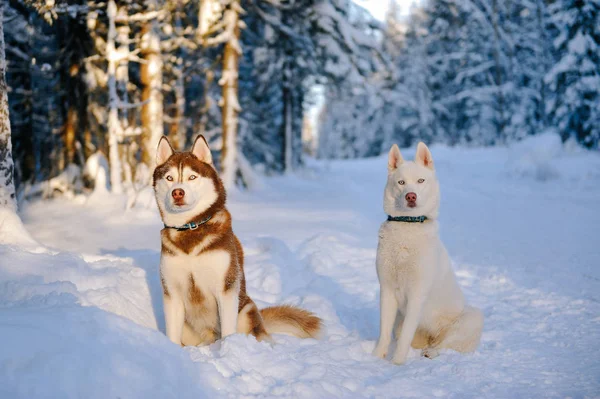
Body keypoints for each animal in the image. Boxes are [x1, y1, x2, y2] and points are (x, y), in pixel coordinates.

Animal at [155, 135, 322, 346]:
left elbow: (228, 328)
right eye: (169, 178)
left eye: (192, 177)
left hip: (246, 310)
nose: (177, 192)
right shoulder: (172, 293)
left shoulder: (226, 288)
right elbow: (172, 334)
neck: (192, 229)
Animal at [370, 143, 482, 366]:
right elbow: (384, 331)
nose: (410, 196)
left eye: (421, 181)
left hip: (472, 317)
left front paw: (397, 363)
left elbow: (406, 335)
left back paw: (432, 352)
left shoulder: (417, 293)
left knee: (444, 344)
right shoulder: (386, 290)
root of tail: (431, 336)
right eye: (401, 182)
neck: (407, 226)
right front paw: (377, 358)